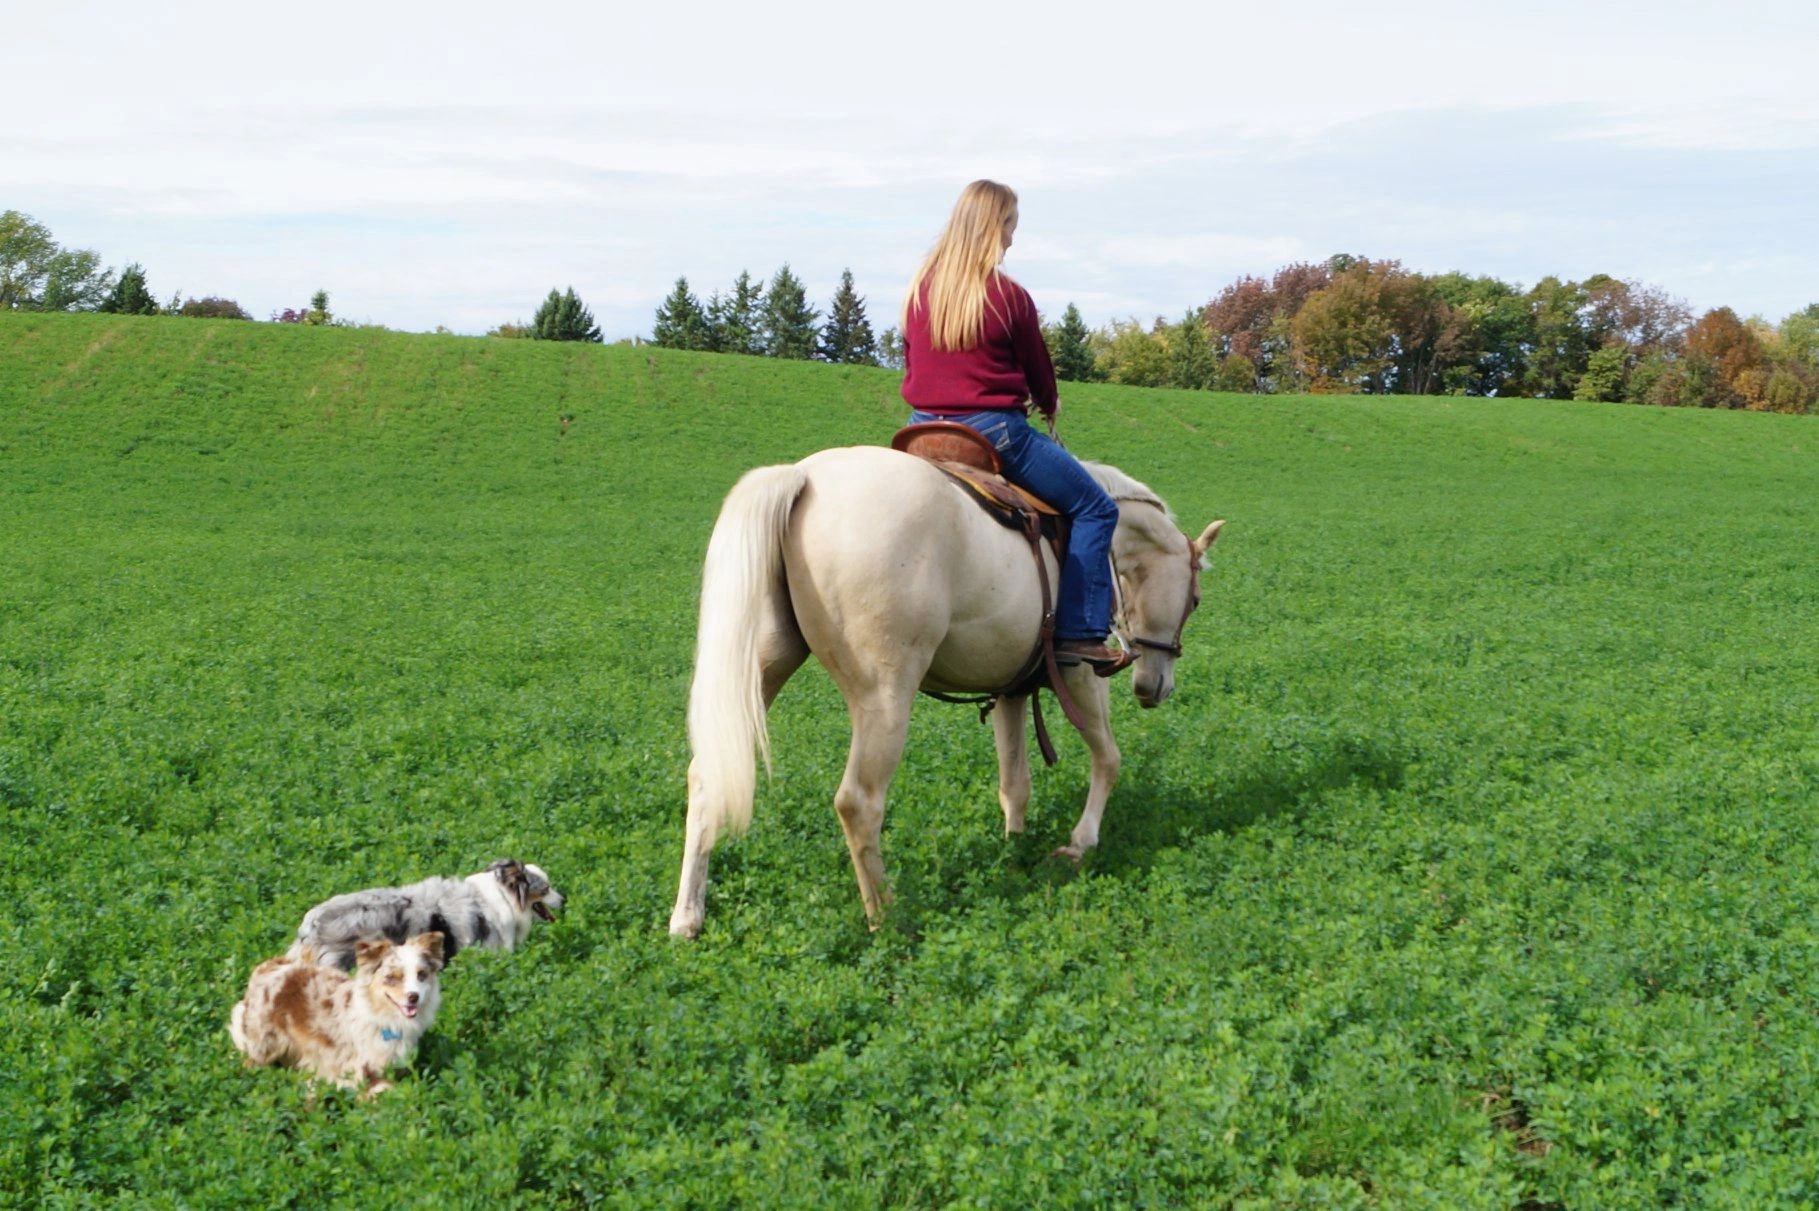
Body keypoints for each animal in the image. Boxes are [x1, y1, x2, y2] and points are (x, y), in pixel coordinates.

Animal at [669, 443, 1222, 930]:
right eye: (1195, 599)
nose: (1154, 687)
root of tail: (803, 475)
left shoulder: (1011, 688)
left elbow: (1014, 782)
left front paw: (1013, 847)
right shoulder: (1079, 672)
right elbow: (1108, 757)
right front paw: (1079, 843)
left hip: (764, 667)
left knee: (706, 775)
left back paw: (687, 917)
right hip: (886, 696)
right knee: (858, 803)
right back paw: (886, 918)